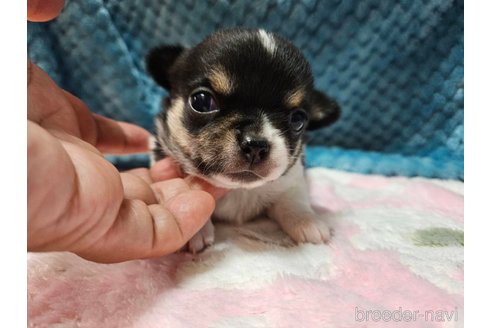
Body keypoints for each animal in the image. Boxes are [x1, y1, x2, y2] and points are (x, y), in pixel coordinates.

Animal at [145, 28, 338, 254]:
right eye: (201, 101)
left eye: (298, 119)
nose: (255, 145)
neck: (237, 189)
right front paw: (196, 227)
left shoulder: (292, 179)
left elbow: (293, 199)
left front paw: (307, 221)